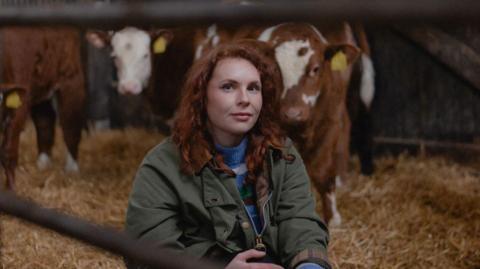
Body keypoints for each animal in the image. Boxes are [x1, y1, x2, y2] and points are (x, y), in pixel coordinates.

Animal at [0, 26, 86, 188]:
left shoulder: (20, 100)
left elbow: (8, 152)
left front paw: (11, 188)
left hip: (71, 77)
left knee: (71, 123)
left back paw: (72, 171)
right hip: (40, 85)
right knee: (45, 120)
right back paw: (43, 164)